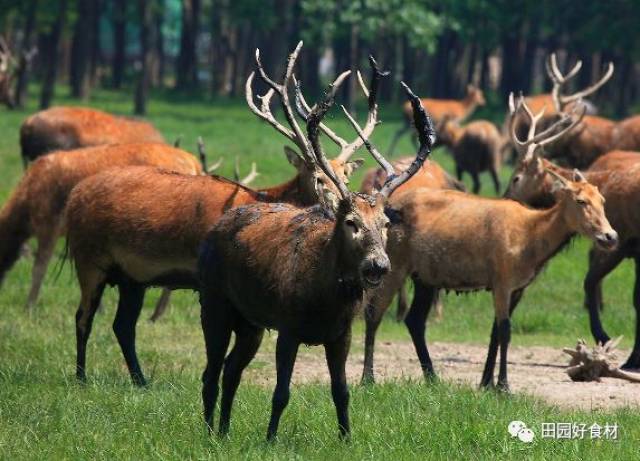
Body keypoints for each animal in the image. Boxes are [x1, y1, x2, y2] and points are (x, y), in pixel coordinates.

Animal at [196, 72, 436, 438]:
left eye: (384, 223)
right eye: (350, 222)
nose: (378, 265)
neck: (324, 299)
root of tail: (214, 228)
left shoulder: (341, 334)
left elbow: (342, 391)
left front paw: (347, 438)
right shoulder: (288, 327)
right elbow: (281, 392)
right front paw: (270, 439)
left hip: (250, 322)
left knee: (231, 368)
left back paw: (224, 431)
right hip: (214, 303)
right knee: (210, 372)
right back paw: (210, 433)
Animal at [358, 94, 616, 388]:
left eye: (602, 200)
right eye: (581, 201)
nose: (610, 236)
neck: (532, 242)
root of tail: (387, 210)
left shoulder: (515, 286)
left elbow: (496, 331)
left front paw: (487, 383)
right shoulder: (502, 278)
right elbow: (504, 330)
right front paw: (503, 385)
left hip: (424, 276)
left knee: (414, 320)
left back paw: (432, 376)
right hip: (394, 264)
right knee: (374, 313)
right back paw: (368, 378)